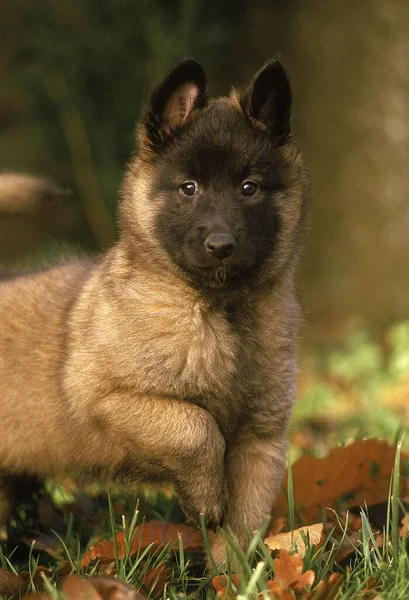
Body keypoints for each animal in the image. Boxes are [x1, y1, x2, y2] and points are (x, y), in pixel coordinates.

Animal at [0, 58, 306, 564]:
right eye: (188, 188)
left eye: (249, 188)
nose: (221, 245)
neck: (216, 311)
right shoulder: (106, 397)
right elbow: (194, 426)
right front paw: (205, 498)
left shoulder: (261, 441)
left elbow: (242, 525)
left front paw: (229, 575)